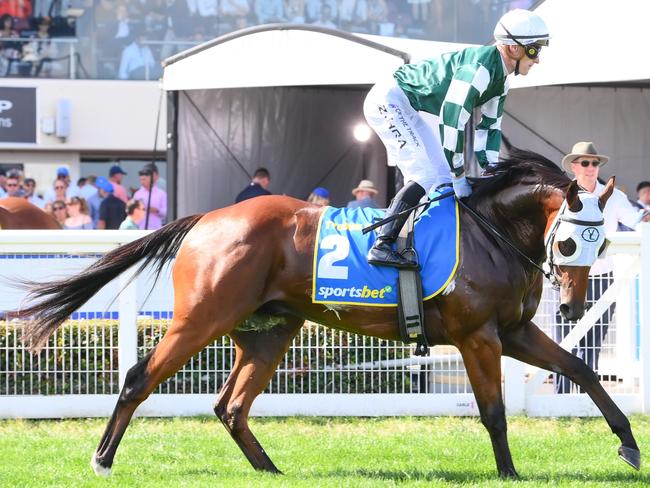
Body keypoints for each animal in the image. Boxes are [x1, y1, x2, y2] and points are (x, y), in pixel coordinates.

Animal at [15, 148, 636, 476]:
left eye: (601, 241)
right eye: (567, 242)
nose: (574, 303)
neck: (493, 232)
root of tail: (205, 220)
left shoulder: (514, 331)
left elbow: (581, 370)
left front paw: (628, 444)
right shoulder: (479, 336)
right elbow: (495, 412)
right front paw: (508, 474)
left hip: (270, 332)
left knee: (230, 405)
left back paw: (268, 470)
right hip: (200, 319)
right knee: (139, 378)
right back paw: (102, 459)